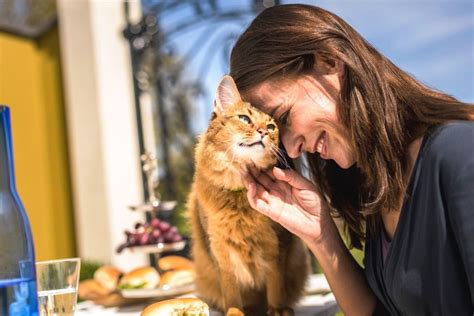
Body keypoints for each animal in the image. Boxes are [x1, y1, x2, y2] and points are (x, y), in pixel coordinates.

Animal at [187, 75, 310, 314]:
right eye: (244, 118)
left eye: (271, 126)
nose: (263, 132)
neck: (238, 197)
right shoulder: (219, 247)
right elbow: (231, 290)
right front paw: (234, 311)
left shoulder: (277, 244)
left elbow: (275, 281)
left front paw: (278, 309)